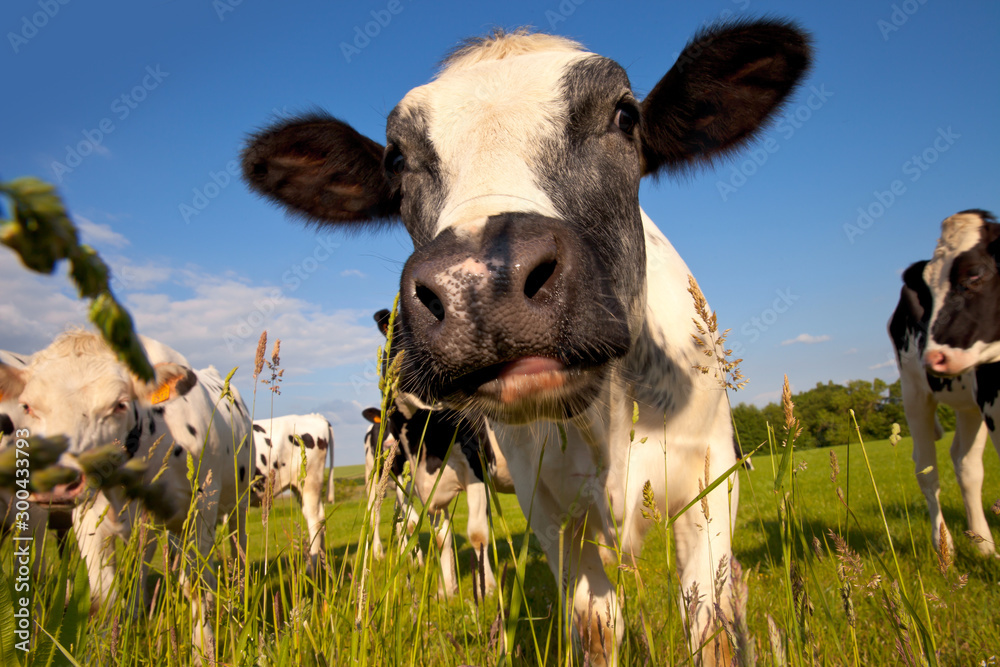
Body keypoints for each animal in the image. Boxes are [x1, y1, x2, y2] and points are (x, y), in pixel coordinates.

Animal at [0, 331, 254, 662]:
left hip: (238, 504)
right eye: (27, 406)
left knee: (238, 550)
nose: (55, 480)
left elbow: (197, 585)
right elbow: (103, 595)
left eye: (119, 405)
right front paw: (102, 651)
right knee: (142, 564)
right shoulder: (87, 521)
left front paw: (204, 653)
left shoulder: (200, 512)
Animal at [890, 209, 1000, 558]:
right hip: (914, 393)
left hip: (969, 406)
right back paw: (944, 546)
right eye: (929, 290)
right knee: (927, 470)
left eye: (974, 275)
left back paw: (983, 544)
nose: (934, 357)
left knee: (965, 465)